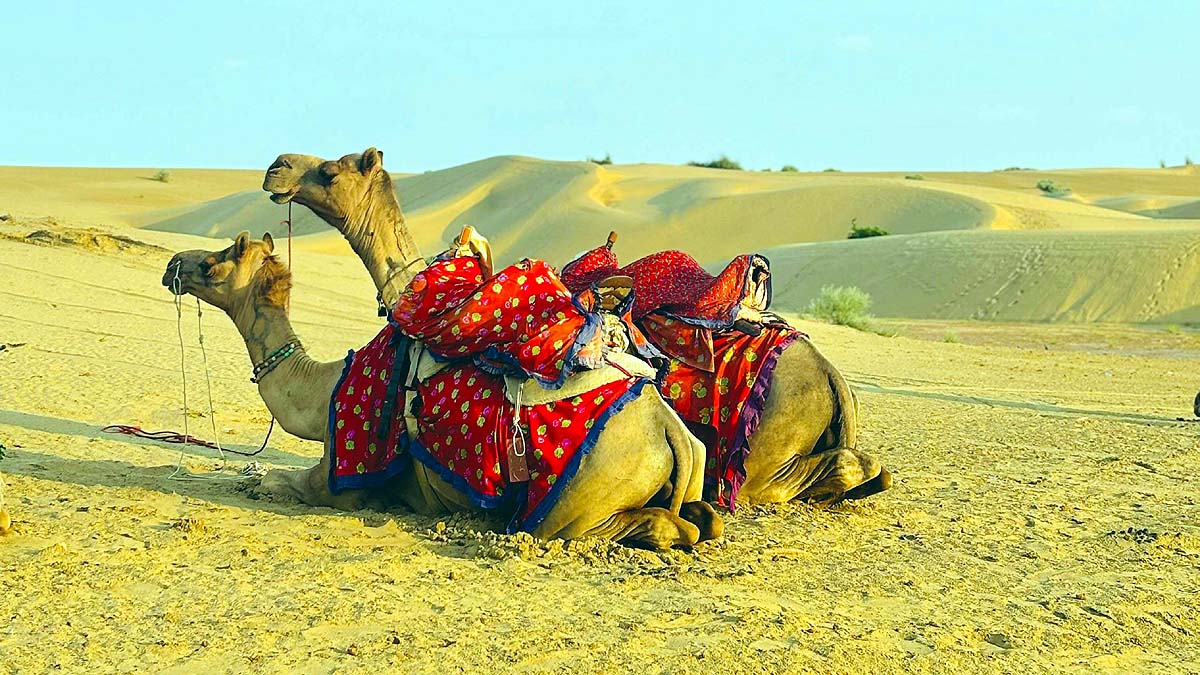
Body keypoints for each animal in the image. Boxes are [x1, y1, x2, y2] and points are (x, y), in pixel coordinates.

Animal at [161, 232, 720, 549]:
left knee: (656, 528)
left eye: (214, 263)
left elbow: (279, 482)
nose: (173, 265)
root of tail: (669, 430)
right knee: (702, 520)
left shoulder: (340, 480)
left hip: (573, 507)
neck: (323, 389)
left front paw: (254, 479)